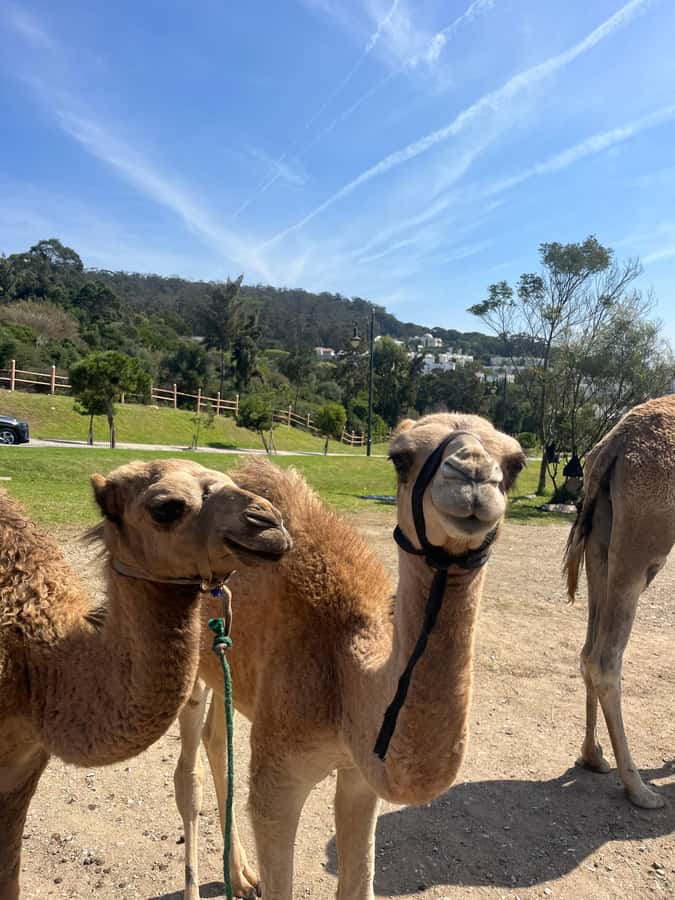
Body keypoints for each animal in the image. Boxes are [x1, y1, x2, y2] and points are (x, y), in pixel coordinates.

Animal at [172, 412, 526, 900]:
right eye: (400, 457)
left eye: (515, 464)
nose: (473, 474)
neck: (347, 672)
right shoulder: (278, 778)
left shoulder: (361, 775)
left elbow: (358, 881)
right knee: (186, 775)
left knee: (214, 738)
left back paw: (241, 876)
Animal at [565, 393, 675, 809]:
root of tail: (614, 446)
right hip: (644, 541)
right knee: (605, 658)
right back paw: (639, 788)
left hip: (602, 535)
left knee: (587, 650)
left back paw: (593, 756)